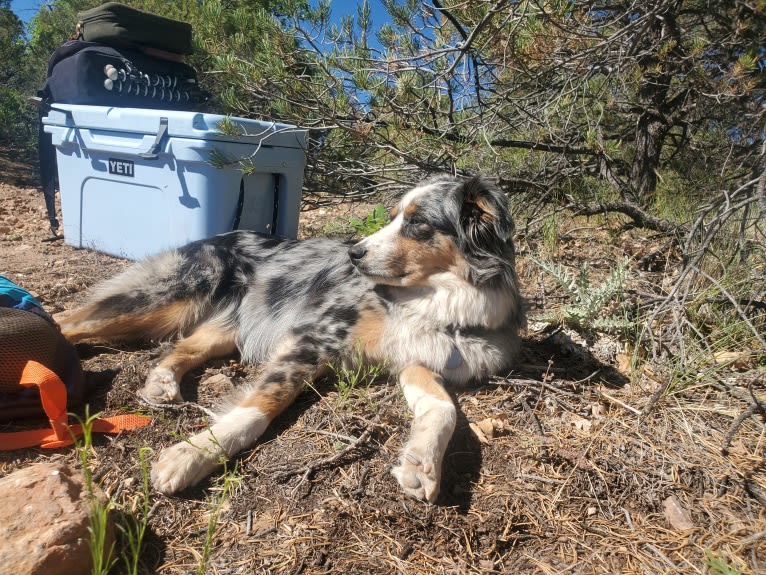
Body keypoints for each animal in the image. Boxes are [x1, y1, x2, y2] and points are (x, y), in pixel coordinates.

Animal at [60, 177, 524, 504]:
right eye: (395, 216)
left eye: (417, 222)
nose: (353, 254)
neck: (442, 303)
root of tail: (216, 235)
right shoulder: (312, 337)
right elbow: (260, 406)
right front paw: (192, 455)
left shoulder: (416, 357)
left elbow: (443, 408)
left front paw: (422, 464)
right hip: (169, 295)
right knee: (68, 322)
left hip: (230, 325)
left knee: (182, 347)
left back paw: (161, 383)